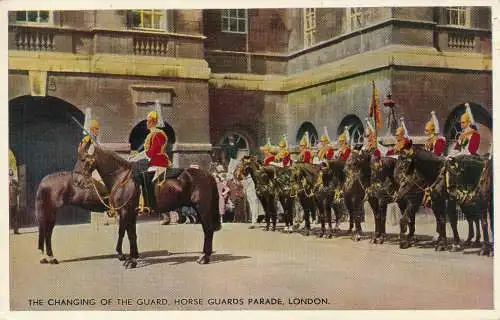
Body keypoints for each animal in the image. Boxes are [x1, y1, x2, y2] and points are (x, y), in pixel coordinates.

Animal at [80, 145, 221, 268]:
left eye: (84, 160)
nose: (80, 181)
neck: (122, 178)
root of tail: (207, 174)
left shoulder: (125, 212)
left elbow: (125, 233)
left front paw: (128, 259)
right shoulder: (130, 213)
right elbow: (130, 234)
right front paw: (132, 257)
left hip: (203, 208)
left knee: (208, 230)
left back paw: (204, 257)